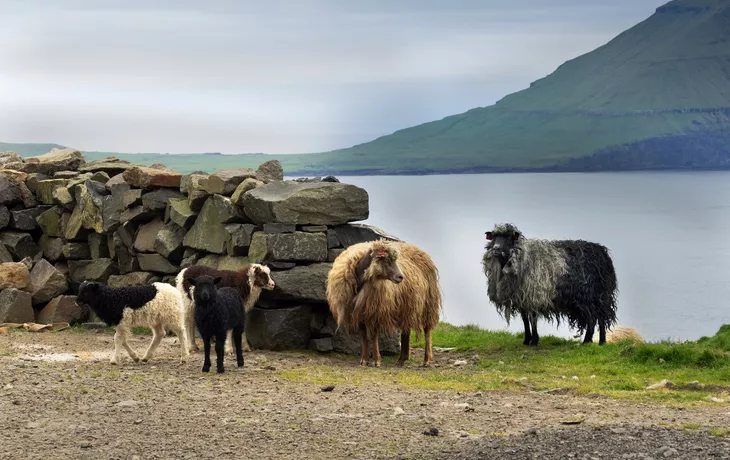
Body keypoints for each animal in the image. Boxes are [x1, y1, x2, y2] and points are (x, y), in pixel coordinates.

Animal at [328, 239, 440, 368]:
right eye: (385, 260)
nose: (401, 277)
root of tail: (420, 251)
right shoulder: (359, 312)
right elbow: (363, 335)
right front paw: (364, 360)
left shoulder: (376, 310)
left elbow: (373, 335)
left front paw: (377, 360)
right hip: (406, 306)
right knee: (406, 330)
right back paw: (401, 360)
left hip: (428, 303)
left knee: (427, 331)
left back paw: (426, 360)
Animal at [480, 223, 616, 344]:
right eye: (494, 237)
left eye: (509, 238)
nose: (496, 248)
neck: (522, 256)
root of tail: (603, 253)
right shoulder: (521, 297)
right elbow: (525, 319)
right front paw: (526, 340)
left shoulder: (533, 294)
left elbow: (533, 317)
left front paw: (534, 340)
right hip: (598, 297)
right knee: (600, 317)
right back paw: (602, 342)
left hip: (589, 295)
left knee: (593, 318)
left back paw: (587, 341)